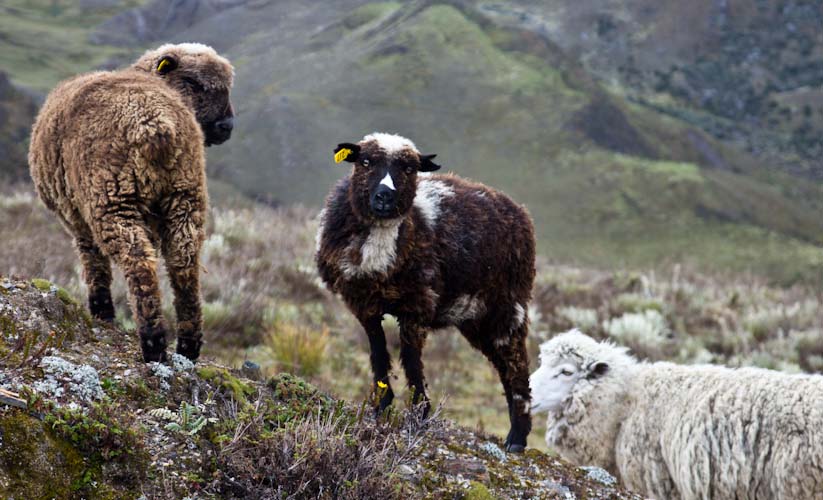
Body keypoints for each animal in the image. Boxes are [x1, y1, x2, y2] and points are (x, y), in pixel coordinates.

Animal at [29, 43, 235, 362]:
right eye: (192, 82)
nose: (227, 126)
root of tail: (156, 123)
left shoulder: (75, 214)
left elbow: (92, 260)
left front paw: (102, 312)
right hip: (186, 195)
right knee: (184, 262)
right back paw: (188, 345)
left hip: (112, 198)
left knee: (138, 261)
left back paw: (153, 342)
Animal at [314, 133, 536, 454]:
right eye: (365, 161)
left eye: (409, 169)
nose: (384, 197)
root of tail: (519, 211)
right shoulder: (365, 304)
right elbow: (378, 351)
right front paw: (382, 405)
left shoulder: (417, 304)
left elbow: (410, 357)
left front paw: (420, 411)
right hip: (476, 317)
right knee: (504, 366)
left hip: (508, 306)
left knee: (516, 366)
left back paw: (517, 437)